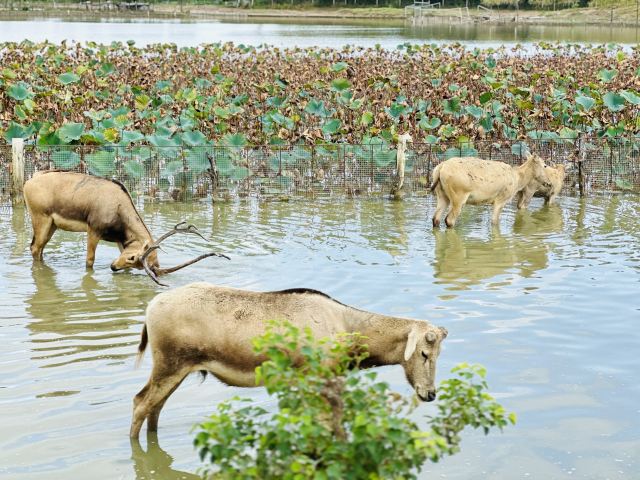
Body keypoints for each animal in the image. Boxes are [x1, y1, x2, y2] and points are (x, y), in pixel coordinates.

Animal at [23, 171, 228, 285]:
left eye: (138, 265)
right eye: (133, 258)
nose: (113, 267)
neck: (120, 210)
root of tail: (27, 183)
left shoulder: (120, 241)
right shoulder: (93, 228)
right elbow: (89, 260)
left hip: (52, 225)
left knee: (38, 248)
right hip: (41, 219)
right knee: (35, 248)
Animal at [130, 282, 448, 438]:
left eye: (439, 353)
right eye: (424, 352)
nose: (430, 393)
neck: (349, 340)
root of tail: (149, 310)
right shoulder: (323, 378)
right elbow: (333, 426)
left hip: (178, 367)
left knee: (155, 408)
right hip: (170, 363)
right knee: (140, 402)